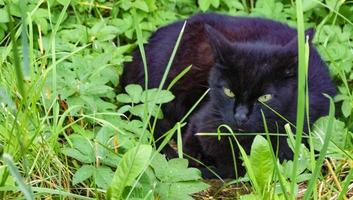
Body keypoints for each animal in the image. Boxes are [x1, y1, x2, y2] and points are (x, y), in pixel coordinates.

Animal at [121, 12, 336, 178]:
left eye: (265, 98)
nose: (240, 116)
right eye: (229, 92)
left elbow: (227, 169)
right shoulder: (198, 121)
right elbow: (189, 155)